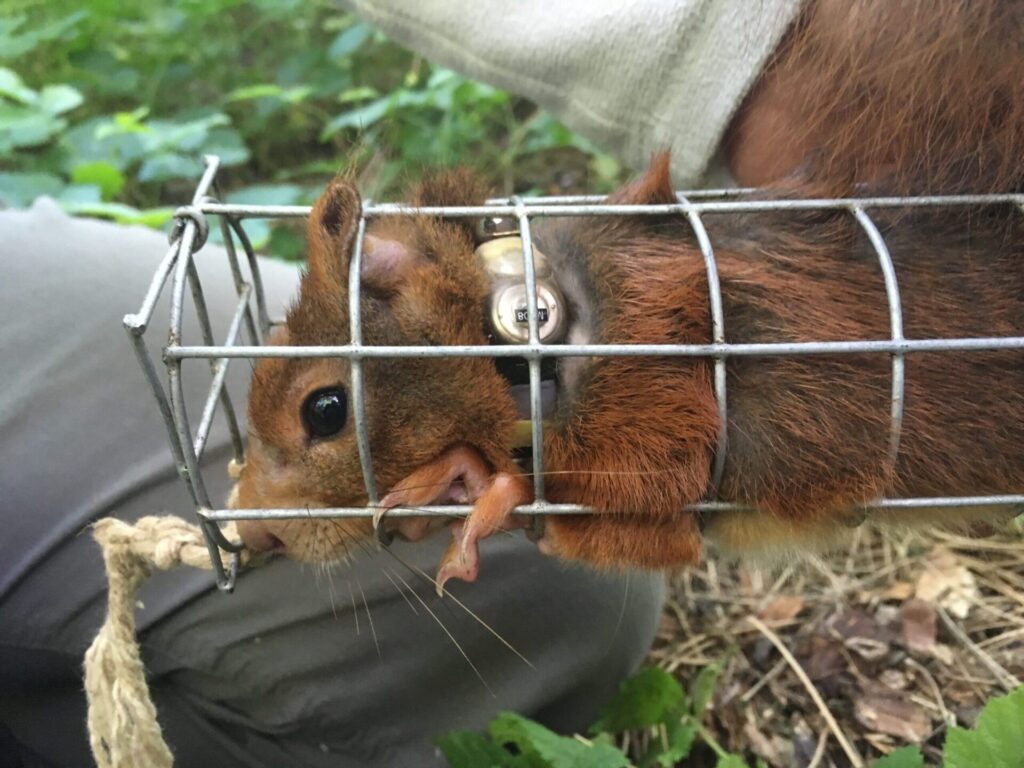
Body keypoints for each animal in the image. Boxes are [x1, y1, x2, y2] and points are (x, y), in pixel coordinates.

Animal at [234, 0, 1024, 589]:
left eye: (325, 410)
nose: (250, 532)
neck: (531, 341)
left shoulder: (655, 431)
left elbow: (628, 528)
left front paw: (471, 486)